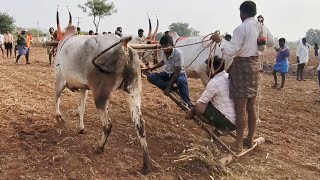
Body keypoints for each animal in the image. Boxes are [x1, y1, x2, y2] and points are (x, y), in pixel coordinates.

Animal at [54, 24, 151, 174]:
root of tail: (124, 45)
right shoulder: (84, 88)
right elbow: (81, 108)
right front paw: (81, 128)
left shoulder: (60, 78)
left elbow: (57, 97)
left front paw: (59, 117)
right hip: (133, 93)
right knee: (140, 124)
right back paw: (146, 164)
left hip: (100, 96)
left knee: (107, 125)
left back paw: (99, 147)